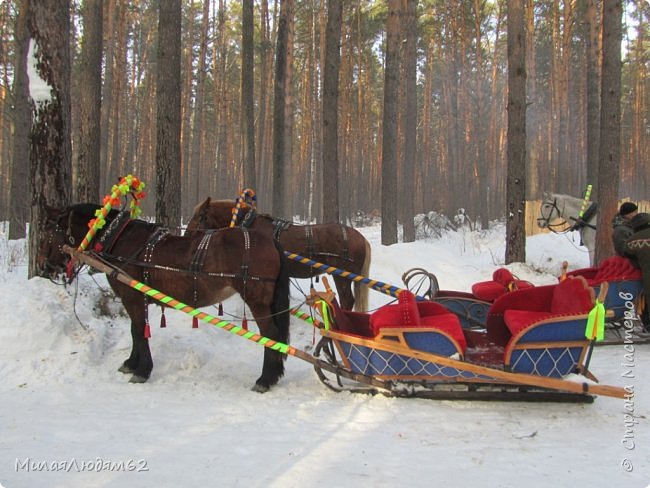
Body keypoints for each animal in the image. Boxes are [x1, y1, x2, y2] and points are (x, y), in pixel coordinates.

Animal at [36, 203, 288, 392]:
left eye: (46, 235)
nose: (45, 267)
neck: (117, 239)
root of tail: (271, 242)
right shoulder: (137, 298)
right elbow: (135, 331)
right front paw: (131, 363)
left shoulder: (132, 296)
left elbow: (139, 330)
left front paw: (142, 370)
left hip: (256, 300)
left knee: (270, 334)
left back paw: (265, 379)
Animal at [187, 196, 370, 310]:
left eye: (200, 216)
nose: (187, 234)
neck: (248, 225)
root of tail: (361, 238)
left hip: (342, 276)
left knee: (347, 300)